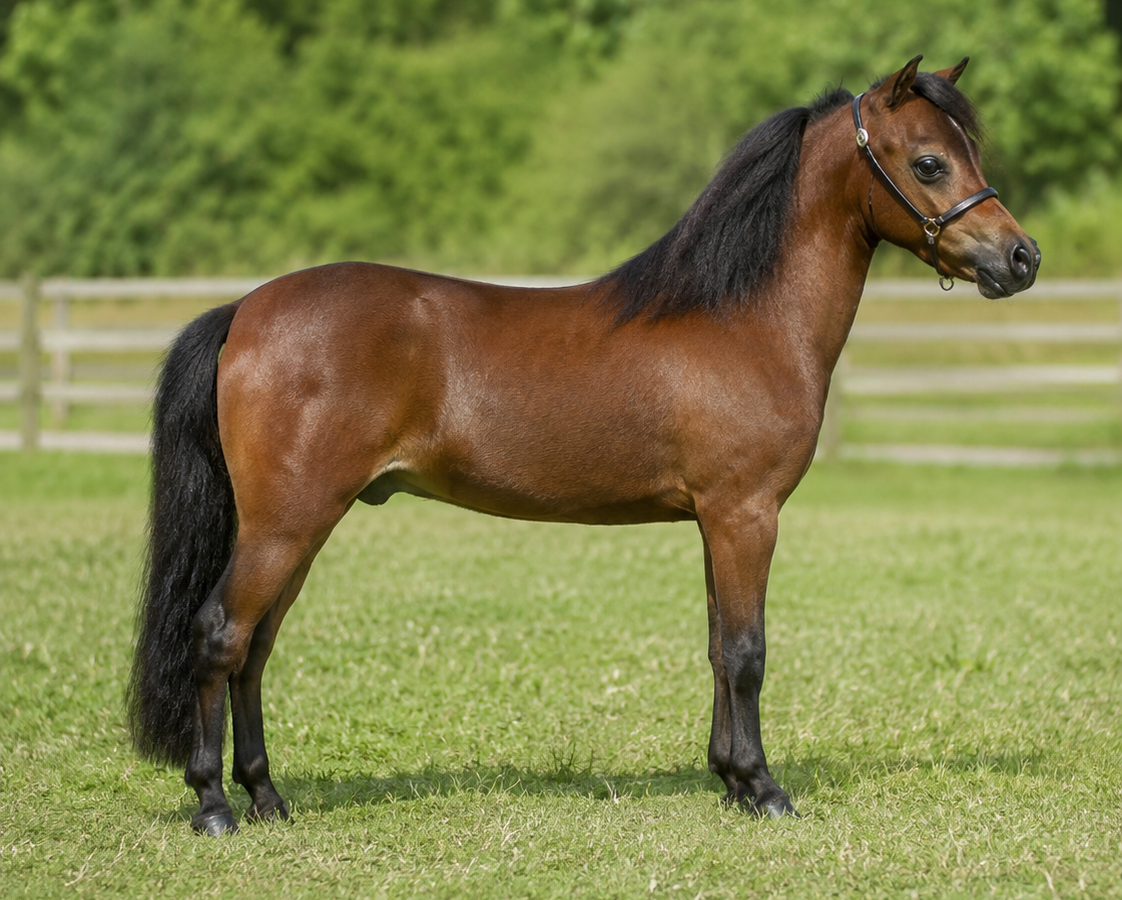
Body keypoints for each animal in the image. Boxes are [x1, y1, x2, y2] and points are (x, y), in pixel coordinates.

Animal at [128, 56, 1039, 835]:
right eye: (929, 162)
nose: (1021, 258)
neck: (745, 317)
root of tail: (245, 310)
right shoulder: (747, 516)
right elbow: (748, 652)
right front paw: (766, 790)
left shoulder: (715, 521)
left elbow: (717, 647)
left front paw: (731, 780)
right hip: (286, 523)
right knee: (220, 636)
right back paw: (214, 806)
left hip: (300, 525)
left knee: (254, 649)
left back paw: (268, 798)